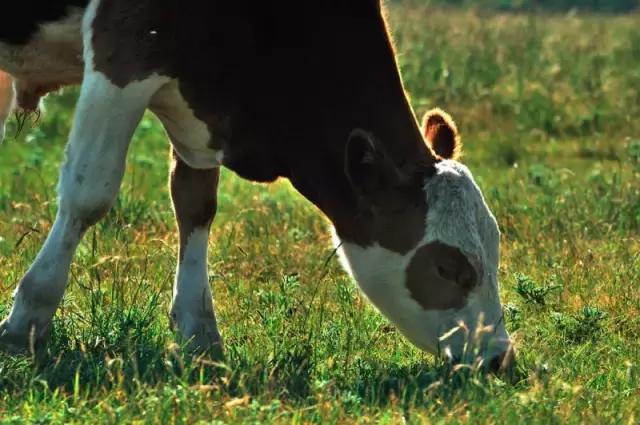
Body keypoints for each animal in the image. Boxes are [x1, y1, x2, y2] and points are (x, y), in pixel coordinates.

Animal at [0, 0, 516, 370]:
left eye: (494, 254)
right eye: (449, 268)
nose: (499, 357)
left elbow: (195, 204)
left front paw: (199, 335)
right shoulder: (126, 46)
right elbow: (89, 193)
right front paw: (27, 320)